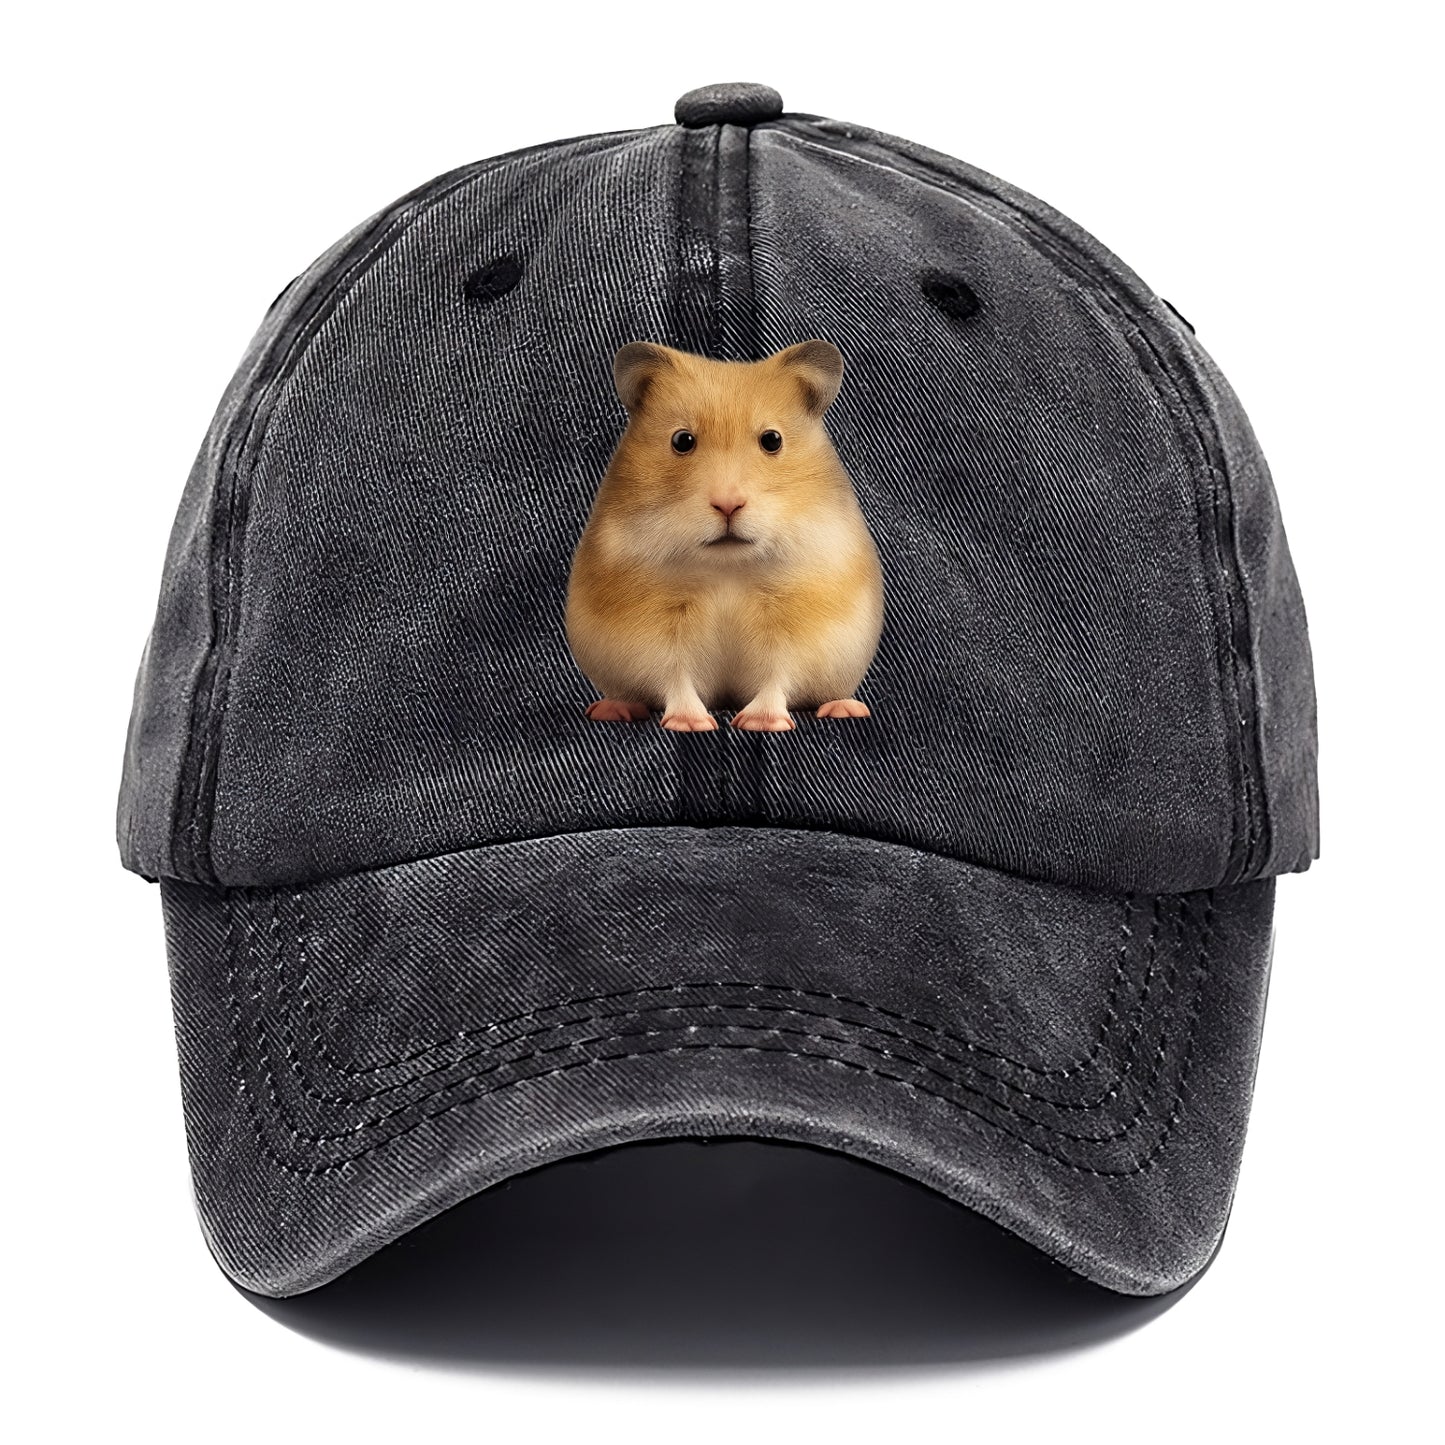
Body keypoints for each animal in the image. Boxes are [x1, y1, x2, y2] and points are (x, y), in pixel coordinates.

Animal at [565, 340, 884, 732]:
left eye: (772, 440)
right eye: (682, 440)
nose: (728, 505)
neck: (727, 568)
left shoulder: (793, 628)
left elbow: (777, 675)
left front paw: (760, 722)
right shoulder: (656, 633)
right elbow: (674, 676)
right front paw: (691, 723)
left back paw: (846, 708)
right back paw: (612, 709)